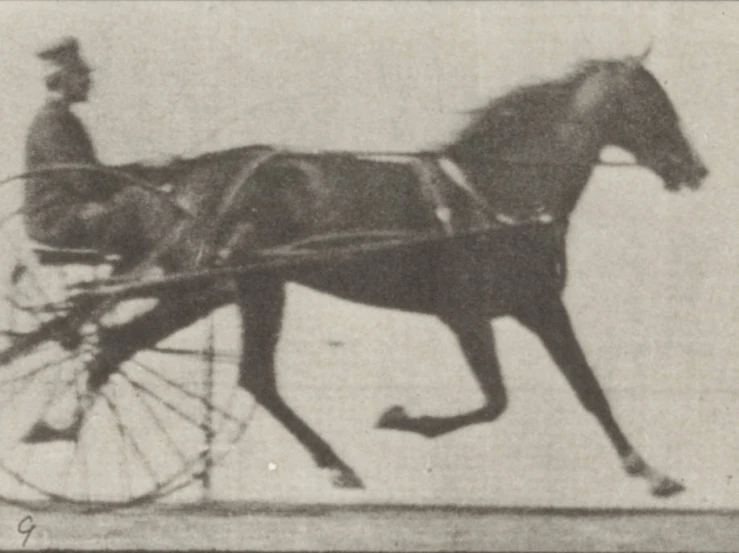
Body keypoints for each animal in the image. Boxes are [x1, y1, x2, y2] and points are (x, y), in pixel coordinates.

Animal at [73, 51, 712, 496]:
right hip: (246, 287)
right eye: (654, 106)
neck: (495, 197)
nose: (695, 169)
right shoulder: (467, 316)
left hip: (218, 289)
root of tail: (183, 178)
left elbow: (588, 389)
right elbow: (496, 402)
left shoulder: (538, 307)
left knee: (126, 346)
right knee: (236, 372)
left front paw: (650, 472)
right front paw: (404, 418)